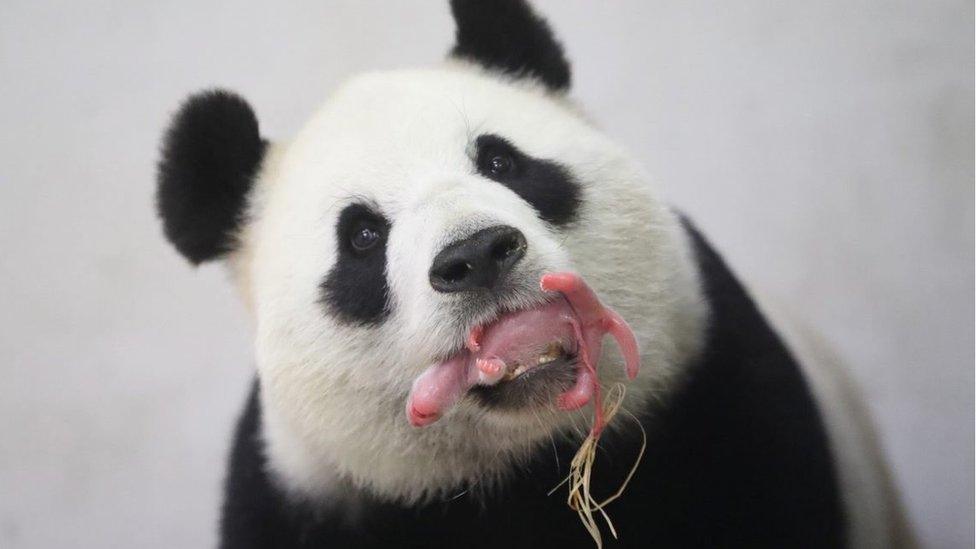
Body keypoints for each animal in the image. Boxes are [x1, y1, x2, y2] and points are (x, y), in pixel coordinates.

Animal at [151, 1, 908, 548]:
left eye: (501, 162)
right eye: (362, 236)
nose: (478, 254)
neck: (521, 465)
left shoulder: (721, 396)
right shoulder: (305, 496)